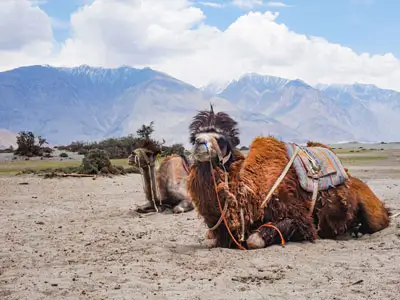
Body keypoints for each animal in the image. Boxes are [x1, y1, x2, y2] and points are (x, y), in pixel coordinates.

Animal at [187, 106, 390, 250]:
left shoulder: (298, 217)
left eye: (221, 139)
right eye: (194, 137)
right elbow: (213, 239)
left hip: (372, 210)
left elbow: (255, 239)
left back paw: (356, 231)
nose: (200, 144)